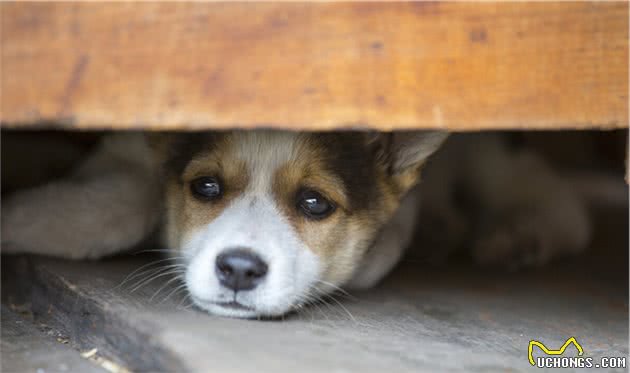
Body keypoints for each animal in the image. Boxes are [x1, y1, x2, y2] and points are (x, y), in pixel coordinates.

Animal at [1, 131, 592, 316]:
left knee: (555, 199)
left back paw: (519, 236)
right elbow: (118, 205)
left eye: (314, 204)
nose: (239, 270)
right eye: (206, 188)